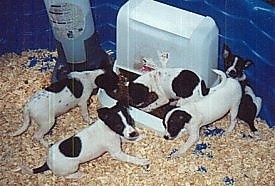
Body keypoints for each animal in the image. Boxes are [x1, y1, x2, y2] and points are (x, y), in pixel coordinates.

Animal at [17, 101, 151, 179]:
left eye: (130, 120)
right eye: (118, 125)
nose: (133, 133)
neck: (107, 128)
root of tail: (48, 162)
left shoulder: (120, 138)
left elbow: (128, 139)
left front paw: (139, 137)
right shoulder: (116, 153)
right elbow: (131, 158)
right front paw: (142, 161)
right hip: (72, 166)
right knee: (67, 176)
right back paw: (79, 174)